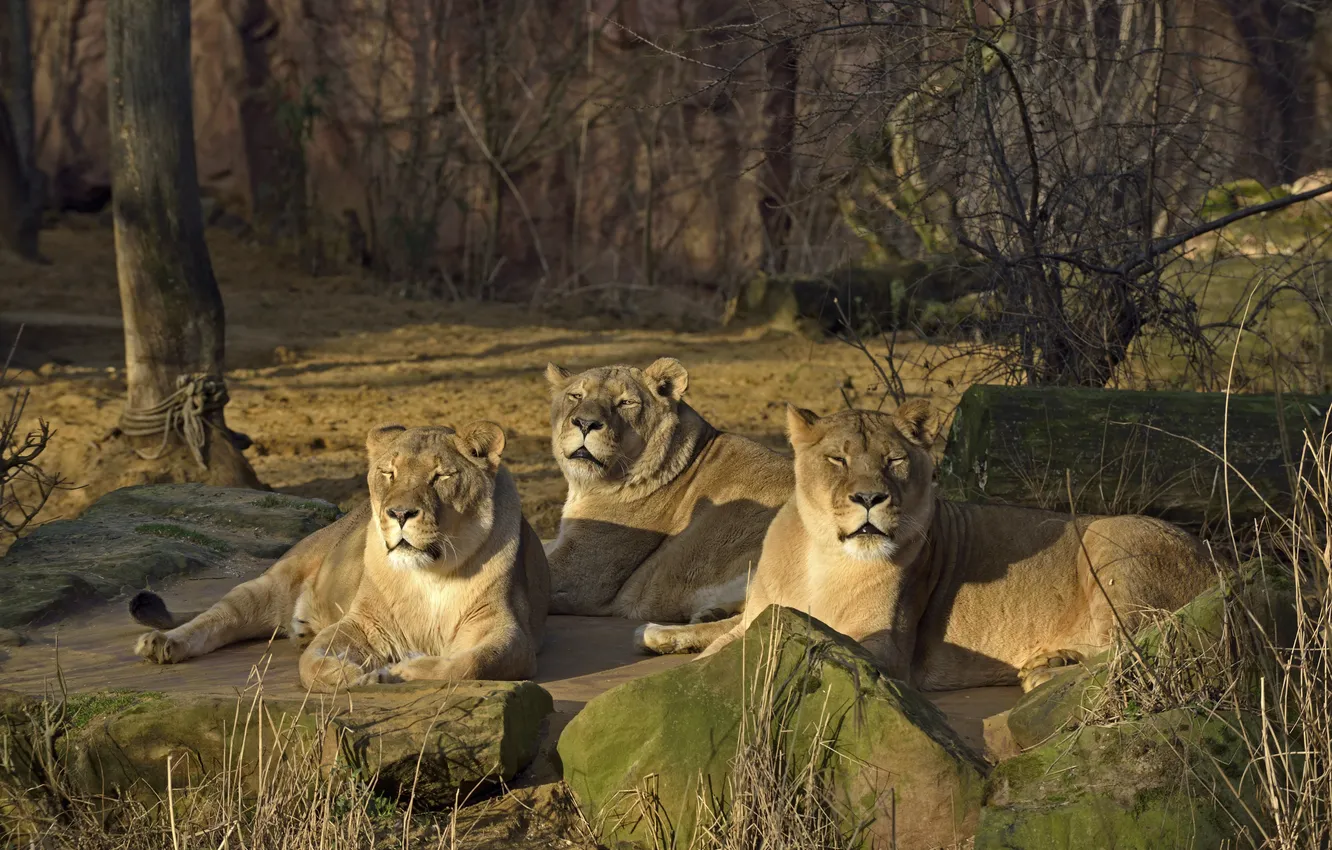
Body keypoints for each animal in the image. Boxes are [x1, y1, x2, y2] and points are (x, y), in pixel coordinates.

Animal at [130, 422, 549, 693]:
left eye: (440, 477)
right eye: (389, 472)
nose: (399, 513)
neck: (429, 573)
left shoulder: (510, 630)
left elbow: (472, 662)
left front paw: (405, 670)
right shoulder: (361, 624)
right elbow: (313, 663)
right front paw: (357, 676)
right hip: (271, 584)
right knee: (216, 618)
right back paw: (162, 643)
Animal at [636, 401, 1218, 692]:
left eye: (894, 460)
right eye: (838, 459)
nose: (869, 498)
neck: (821, 555)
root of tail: (1216, 562)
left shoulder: (879, 650)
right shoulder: (765, 610)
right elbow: (726, 633)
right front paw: (668, 634)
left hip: (1109, 538)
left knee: (1140, 643)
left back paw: (1048, 667)